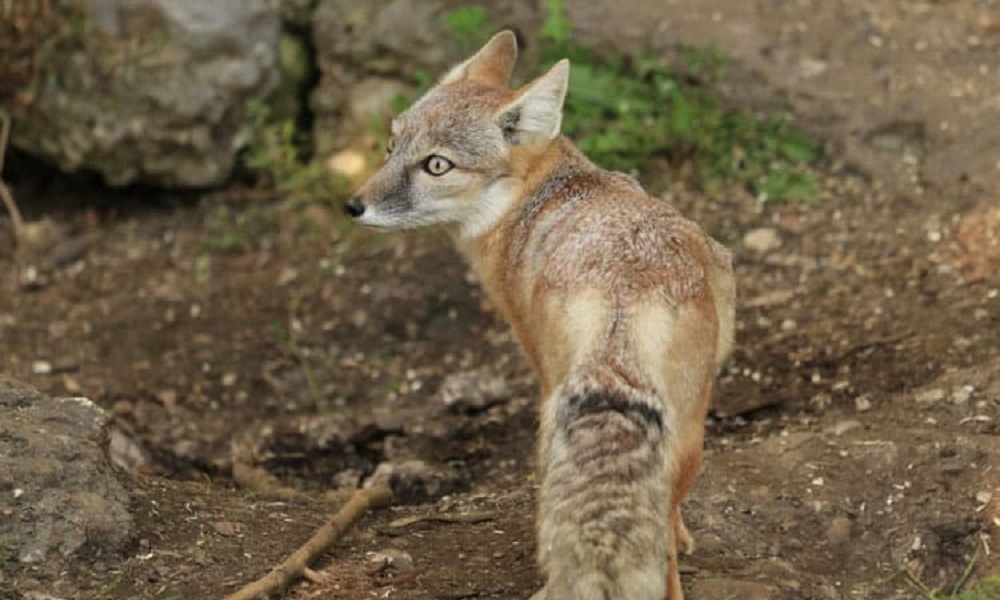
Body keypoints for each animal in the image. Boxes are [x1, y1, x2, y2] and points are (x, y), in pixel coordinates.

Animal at [344, 30, 736, 596]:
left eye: (437, 165)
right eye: (392, 148)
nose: (353, 206)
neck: (540, 193)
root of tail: (622, 298)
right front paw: (687, 537)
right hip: (686, 433)